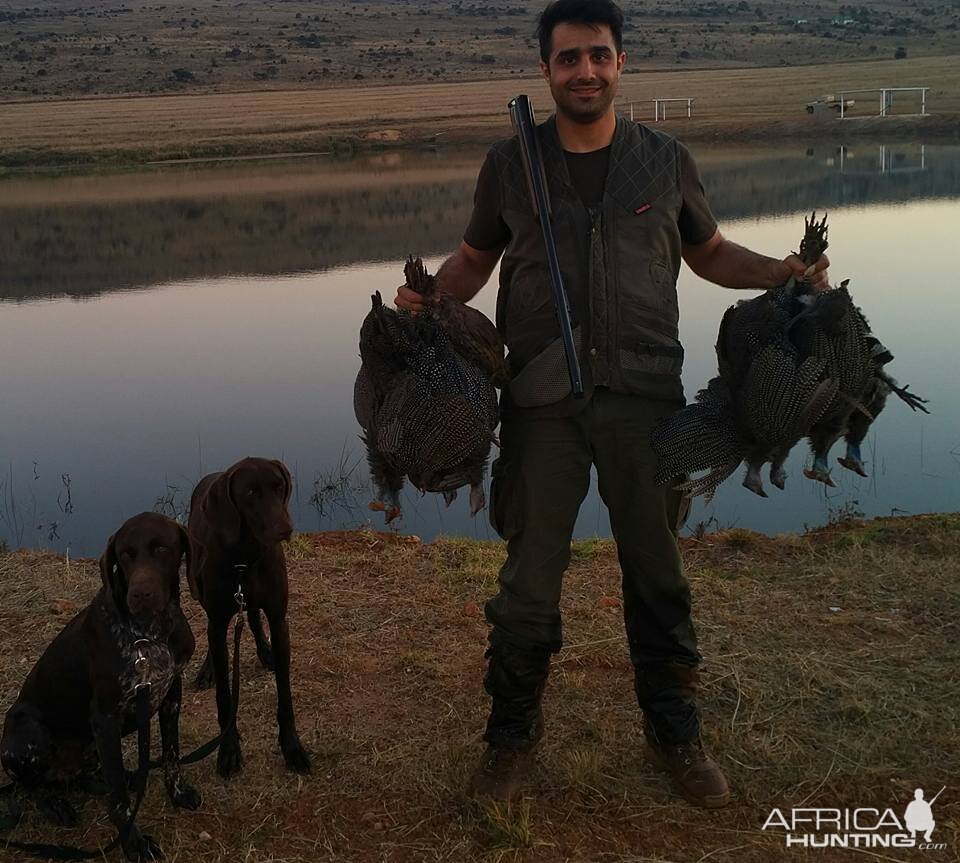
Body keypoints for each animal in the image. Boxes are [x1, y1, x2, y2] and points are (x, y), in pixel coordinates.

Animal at [0, 516, 199, 860]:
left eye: (162, 548)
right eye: (125, 554)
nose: (141, 595)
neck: (150, 635)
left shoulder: (172, 694)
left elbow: (171, 756)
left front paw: (177, 793)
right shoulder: (105, 718)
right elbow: (119, 800)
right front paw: (133, 843)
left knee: (84, 776)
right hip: (24, 730)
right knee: (33, 785)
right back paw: (54, 806)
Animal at [186, 456, 310, 780]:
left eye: (279, 487)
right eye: (250, 493)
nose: (285, 528)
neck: (245, 559)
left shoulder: (279, 620)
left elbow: (285, 696)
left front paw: (292, 747)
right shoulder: (218, 619)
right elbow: (224, 697)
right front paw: (229, 749)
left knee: (253, 617)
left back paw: (265, 652)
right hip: (198, 589)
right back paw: (208, 670)